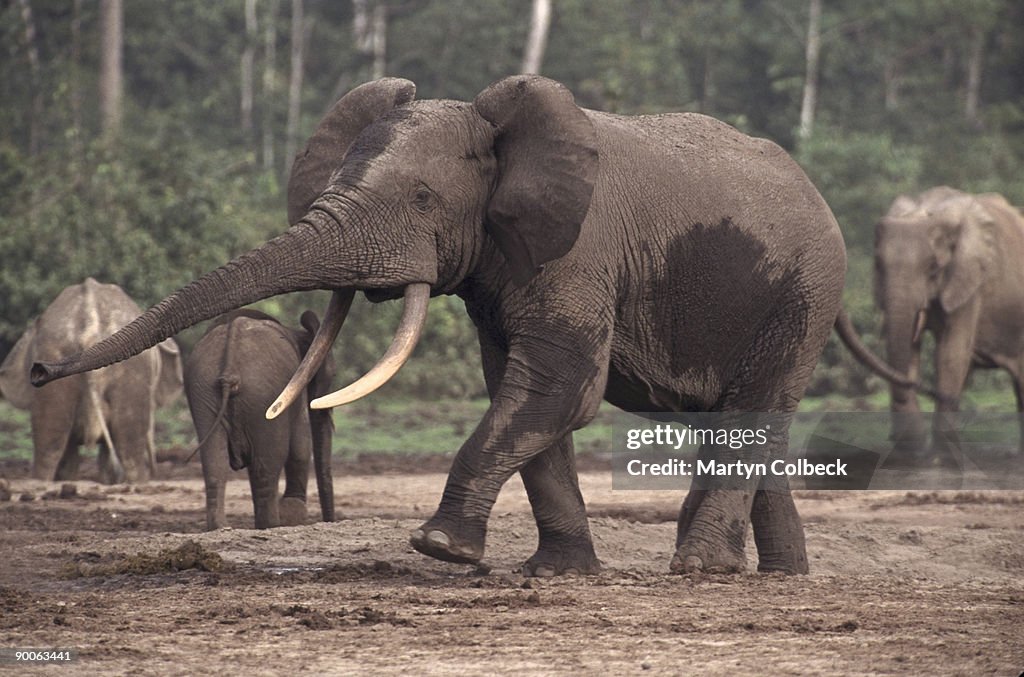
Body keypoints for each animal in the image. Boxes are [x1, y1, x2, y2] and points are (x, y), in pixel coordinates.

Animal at [184, 308, 336, 530]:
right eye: (331, 377)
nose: (329, 520)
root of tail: (229, 369)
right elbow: (300, 444)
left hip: (203, 389)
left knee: (215, 462)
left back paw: (220, 526)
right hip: (263, 393)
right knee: (268, 466)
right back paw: (270, 525)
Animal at [874, 186, 1024, 461]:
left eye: (933, 267)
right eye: (878, 264)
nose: (892, 438)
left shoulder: (971, 278)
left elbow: (950, 354)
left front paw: (940, 458)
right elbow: (911, 349)